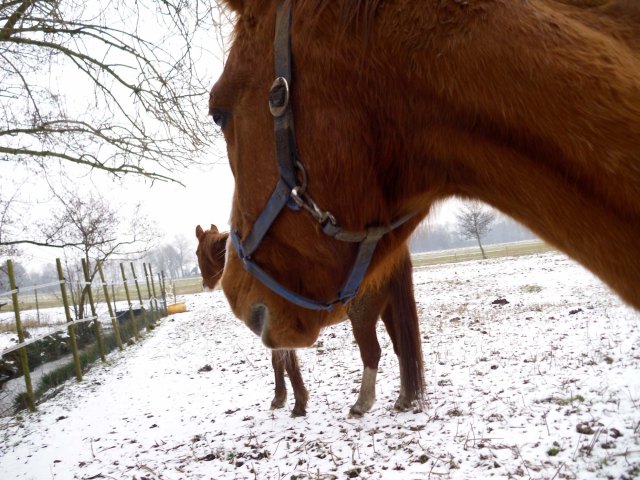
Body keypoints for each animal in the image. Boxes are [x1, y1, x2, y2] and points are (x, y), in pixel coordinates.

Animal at [195, 224, 424, 416]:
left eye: (197, 253)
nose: (205, 284)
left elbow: (288, 364)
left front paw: (298, 404)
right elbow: (277, 362)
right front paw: (280, 399)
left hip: (363, 316)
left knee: (372, 353)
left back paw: (361, 404)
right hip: (389, 310)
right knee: (402, 348)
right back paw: (404, 399)